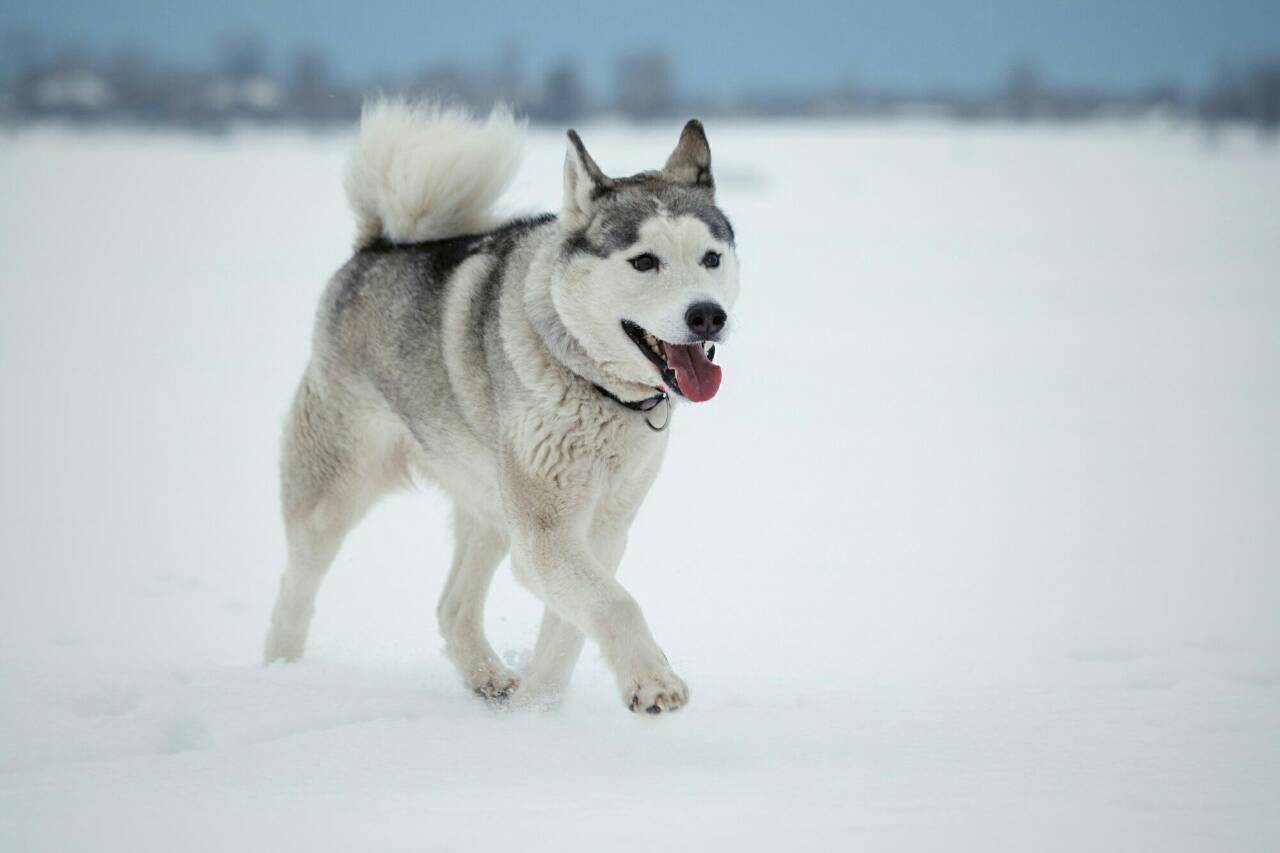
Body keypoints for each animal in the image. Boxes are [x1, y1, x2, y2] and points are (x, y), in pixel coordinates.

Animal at [261, 101, 742, 712]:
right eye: (644, 262)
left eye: (711, 258)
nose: (707, 315)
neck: (592, 383)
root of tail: (377, 247)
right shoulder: (545, 536)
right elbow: (615, 603)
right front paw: (652, 682)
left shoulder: (604, 529)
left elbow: (568, 632)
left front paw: (535, 712)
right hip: (336, 487)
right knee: (295, 583)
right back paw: (280, 673)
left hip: (488, 502)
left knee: (452, 606)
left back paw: (487, 679)